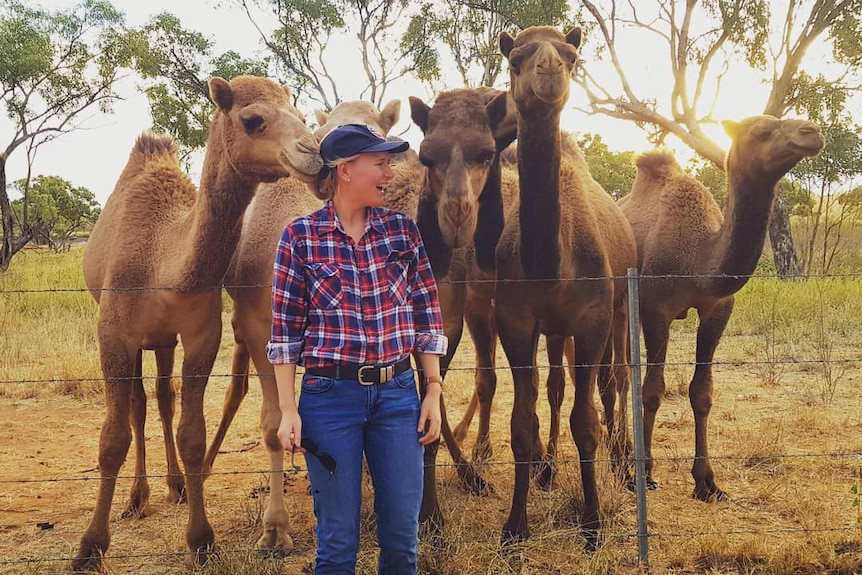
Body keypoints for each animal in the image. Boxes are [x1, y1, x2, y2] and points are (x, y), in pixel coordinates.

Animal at [73, 75, 324, 572]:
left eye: (300, 114)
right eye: (253, 119)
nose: (314, 153)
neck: (163, 264)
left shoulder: (200, 334)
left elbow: (192, 432)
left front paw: (202, 540)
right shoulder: (114, 334)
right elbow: (111, 438)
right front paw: (90, 545)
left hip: (164, 341)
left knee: (160, 398)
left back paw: (173, 487)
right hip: (138, 339)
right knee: (138, 405)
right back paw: (138, 498)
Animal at [492, 27, 640, 548]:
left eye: (572, 56)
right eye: (515, 58)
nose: (550, 71)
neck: (550, 264)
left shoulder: (593, 320)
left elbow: (587, 420)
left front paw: (593, 524)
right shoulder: (516, 323)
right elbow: (523, 422)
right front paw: (515, 526)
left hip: (619, 308)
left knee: (616, 380)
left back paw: (627, 466)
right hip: (556, 331)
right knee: (557, 386)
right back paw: (550, 469)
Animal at [616, 115, 828, 502]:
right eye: (762, 131)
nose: (812, 132)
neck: (698, 259)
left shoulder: (717, 310)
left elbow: (701, 392)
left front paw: (707, 482)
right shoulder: (656, 310)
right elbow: (652, 390)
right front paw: (647, 473)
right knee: (620, 374)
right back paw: (622, 458)